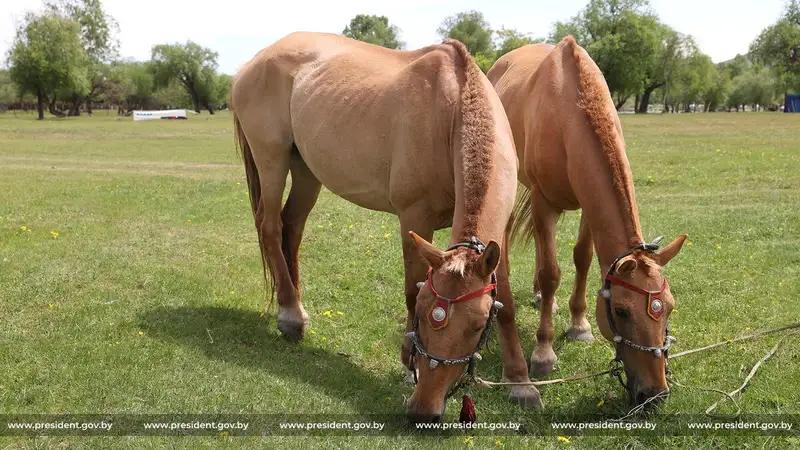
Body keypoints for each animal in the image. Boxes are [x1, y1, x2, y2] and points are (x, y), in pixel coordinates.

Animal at [231, 32, 540, 422]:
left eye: (475, 326)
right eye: (422, 315)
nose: (423, 411)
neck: (451, 113)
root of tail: (256, 60)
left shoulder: (497, 239)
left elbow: (508, 304)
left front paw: (521, 383)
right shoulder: (414, 217)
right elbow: (410, 288)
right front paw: (409, 364)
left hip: (306, 171)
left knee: (292, 226)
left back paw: (297, 306)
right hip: (272, 159)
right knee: (270, 226)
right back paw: (290, 317)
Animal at [488, 37, 688, 406]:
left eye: (668, 307)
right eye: (622, 311)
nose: (654, 393)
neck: (569, 110)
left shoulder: (587, 208)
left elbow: (582, 258)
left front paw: (579, 325)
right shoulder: (543, 203)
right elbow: (551, 272)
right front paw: (543, 352)